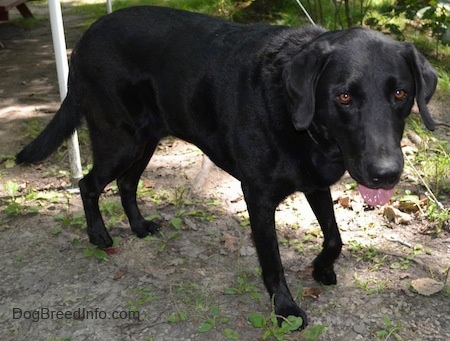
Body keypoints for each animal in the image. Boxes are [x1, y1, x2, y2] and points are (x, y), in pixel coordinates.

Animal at [16, 5, 436, 326]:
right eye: (344, 96)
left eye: (401, 93)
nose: (386, 174)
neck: (298, 119)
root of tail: (87, 37)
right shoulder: (258, 196)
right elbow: (273, 263)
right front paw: (285, 310)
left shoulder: (316, 183)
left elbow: (335, 238)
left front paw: (321, 268)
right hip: (120, 140)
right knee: (88, 184)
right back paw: (99, 236)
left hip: (147, 140)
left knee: (126, 184)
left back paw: (139, 226)